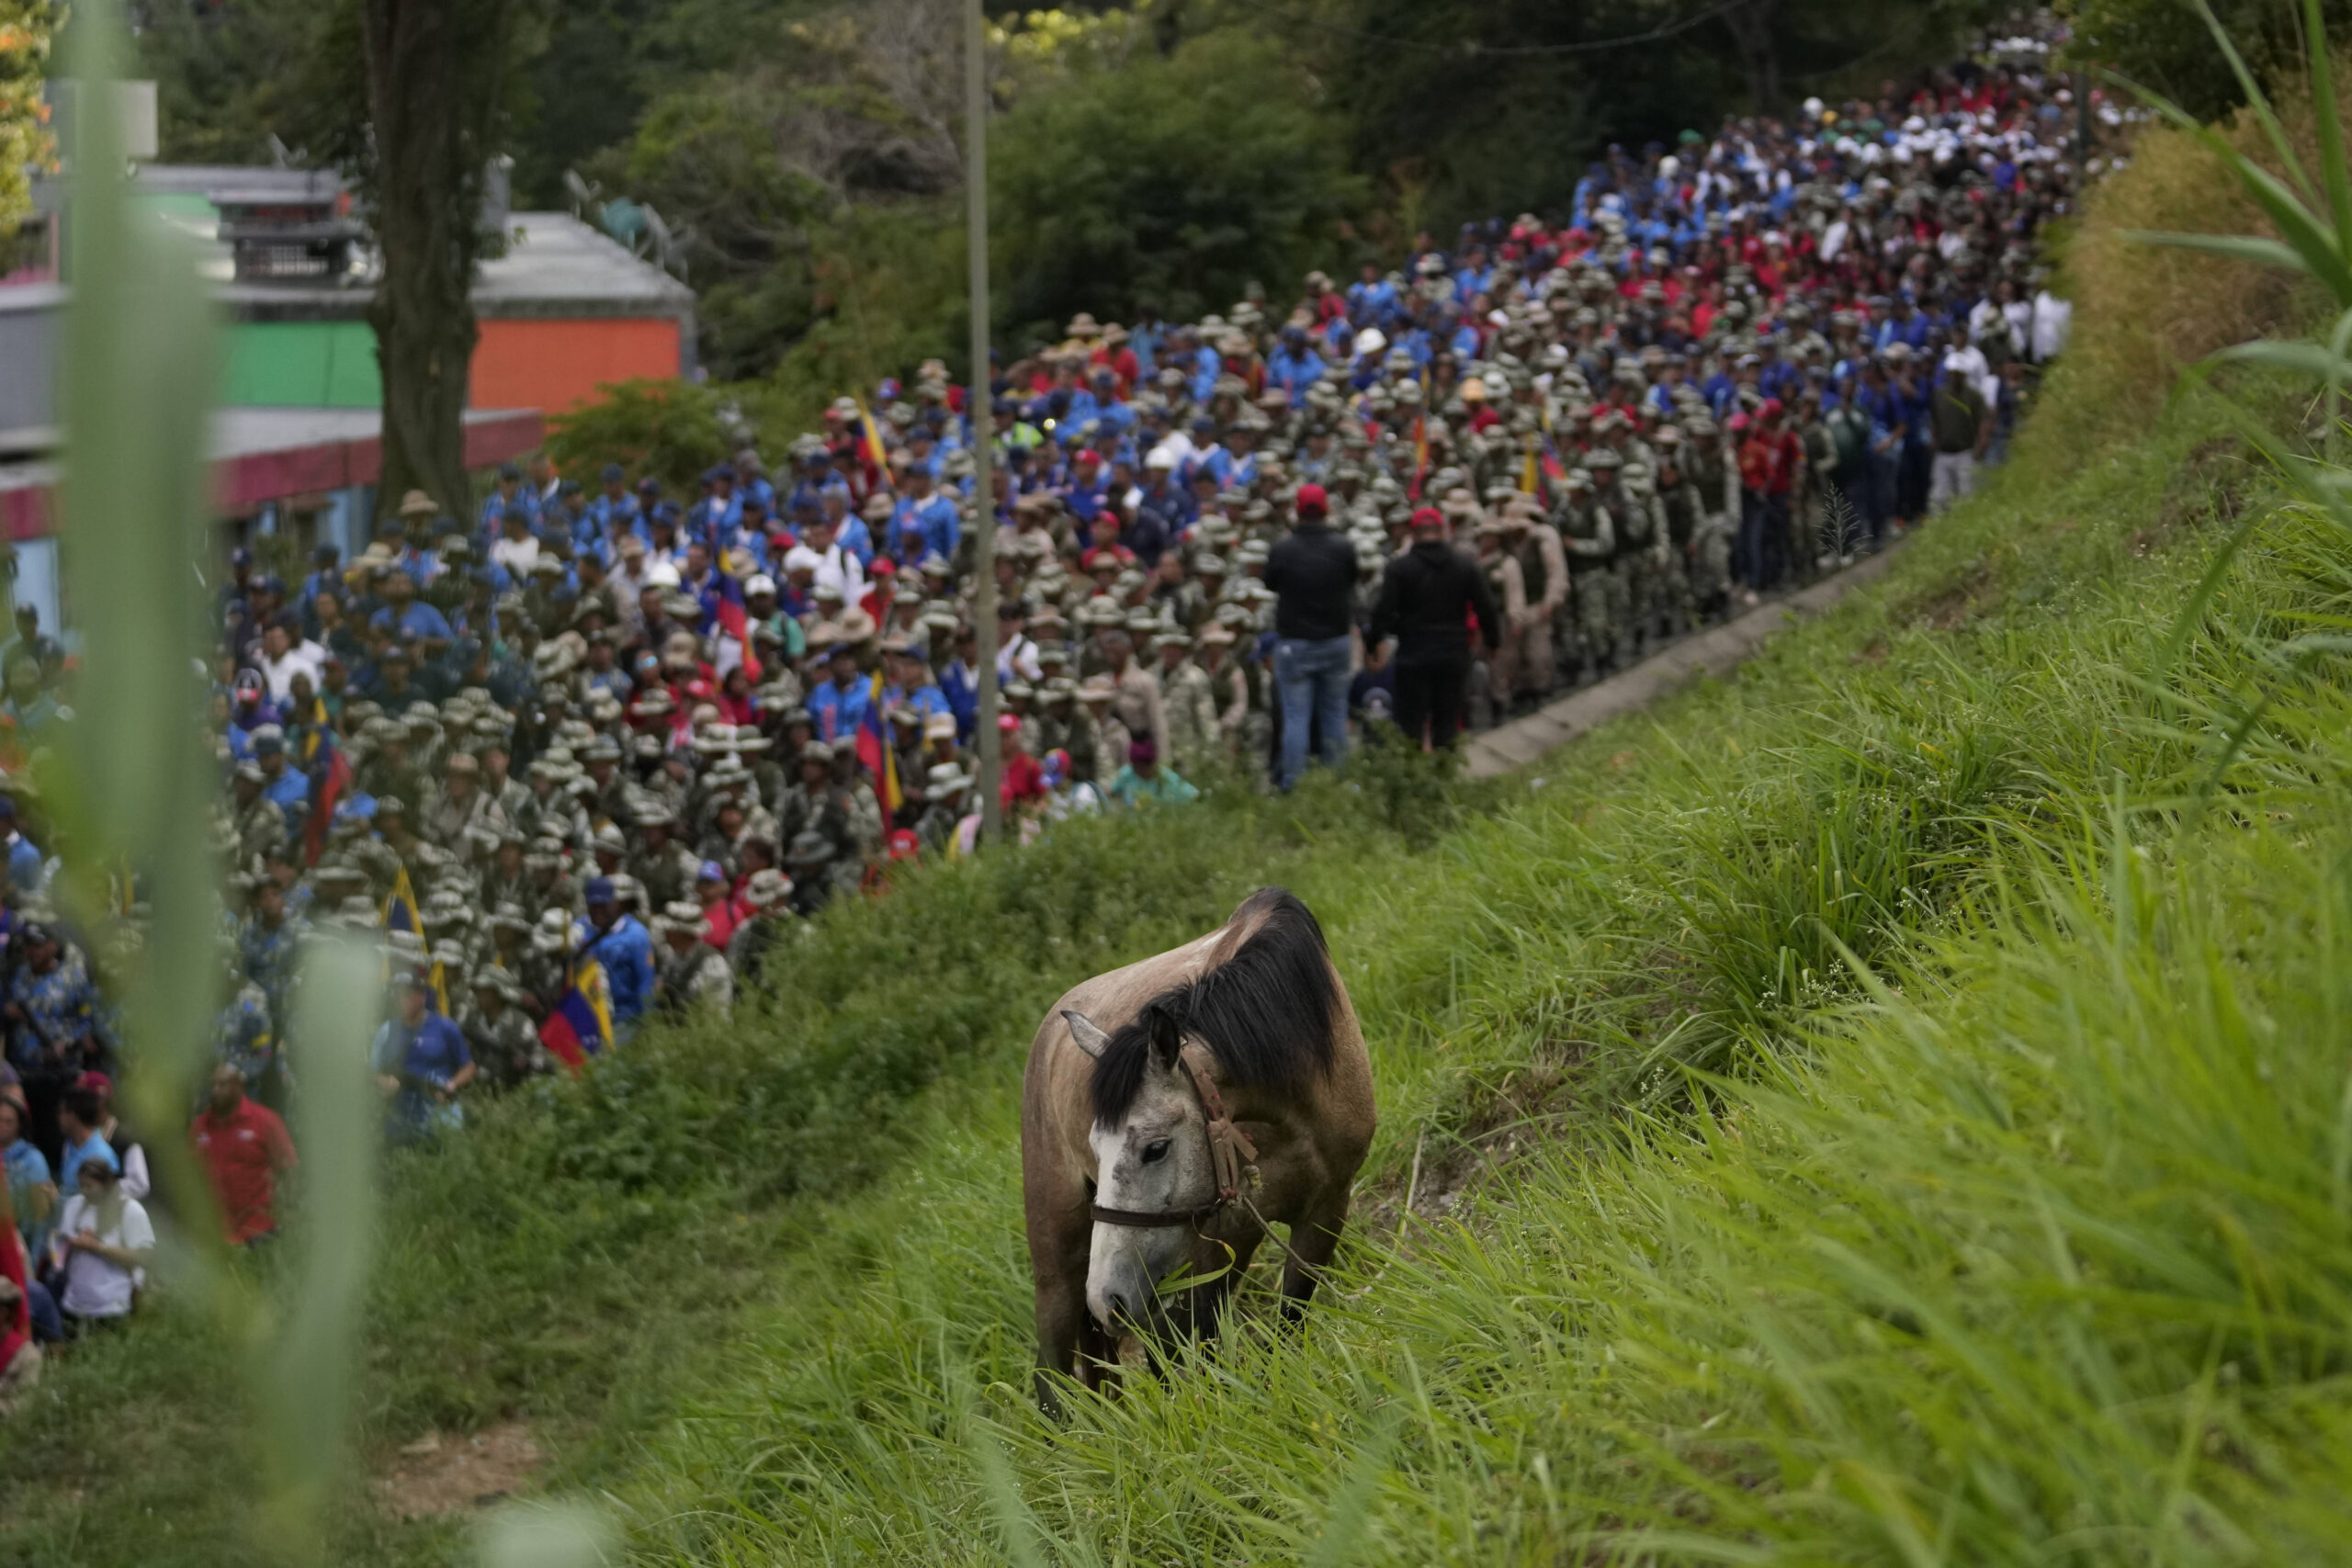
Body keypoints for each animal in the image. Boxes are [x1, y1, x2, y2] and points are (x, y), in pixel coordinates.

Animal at [1015, 884, 1374, 1410]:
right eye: (1096, 1149)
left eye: (1156, 1148)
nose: (1105, 1298)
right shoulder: (1206, 1253)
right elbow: (1197, 1350)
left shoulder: (1325, 1210)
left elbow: (1287, 1325)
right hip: (1064, 1266)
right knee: (1053, 1376)